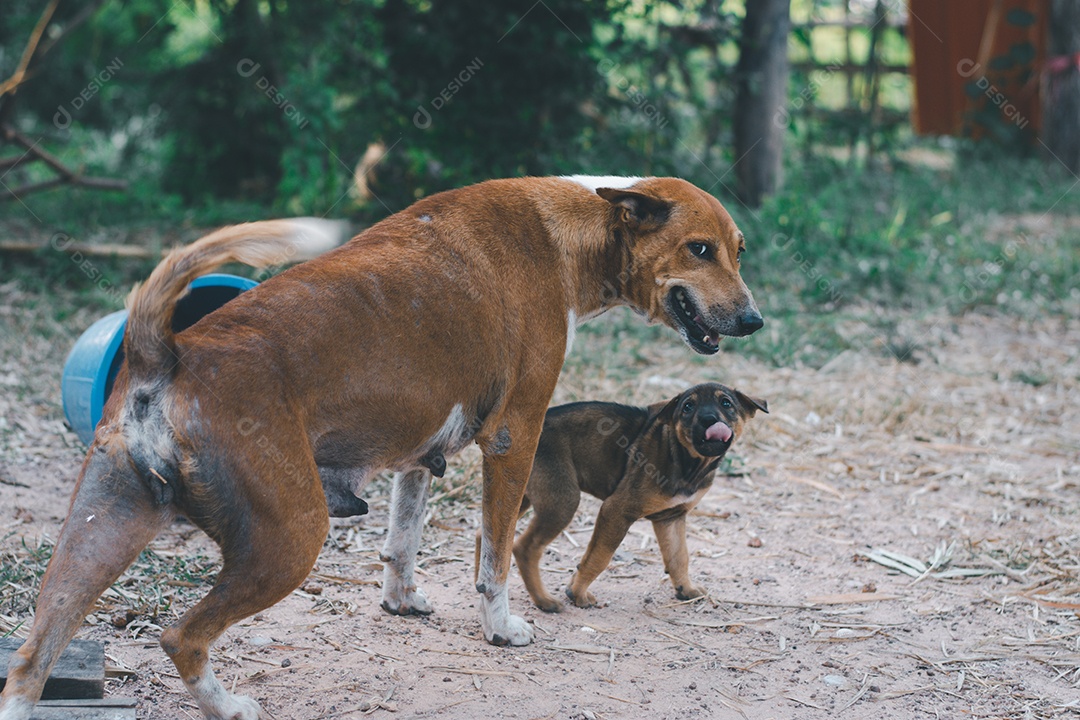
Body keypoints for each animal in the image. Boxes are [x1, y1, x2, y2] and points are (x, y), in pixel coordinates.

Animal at [507, 382, 768, 613]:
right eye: (687, 407)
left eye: (726, 403)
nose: (709, 420)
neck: (687, 461)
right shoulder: (616, 510)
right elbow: (598, 557)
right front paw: (577, 592)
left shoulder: (671, 518)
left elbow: (679, 557)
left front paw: (686, 589)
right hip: (562, 500)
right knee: (524, 548)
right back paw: (544, 601)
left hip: (523, 498)